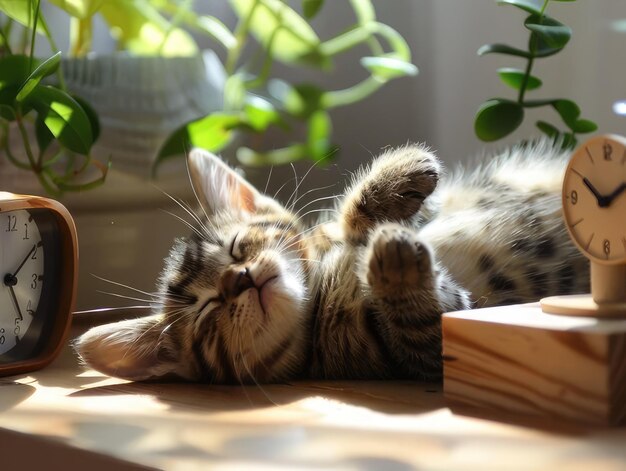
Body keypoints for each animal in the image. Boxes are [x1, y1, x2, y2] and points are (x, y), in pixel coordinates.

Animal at [75, 143, 588, 384]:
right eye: (205, 311)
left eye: (238, 248)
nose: (240, 278)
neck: (321, 290)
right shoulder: (438, 337)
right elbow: (419, 321)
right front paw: (394, 264)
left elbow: (346, 220)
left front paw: (396, 176)